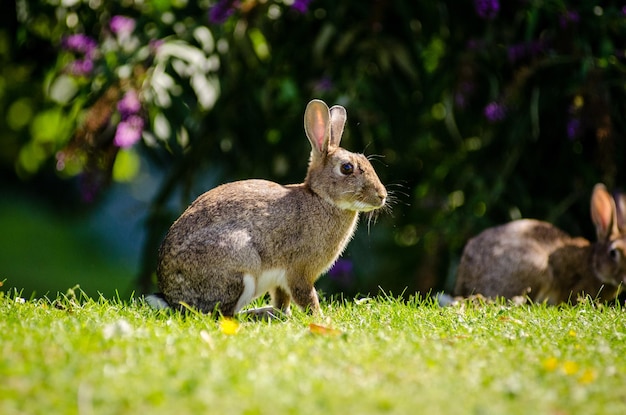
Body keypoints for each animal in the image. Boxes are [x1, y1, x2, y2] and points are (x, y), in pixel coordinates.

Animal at [151, 99, 386, 316]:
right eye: (346, 168)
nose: (382, 196)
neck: (321, 198)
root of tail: (171, 298)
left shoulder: (281, 280)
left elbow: (282, 298)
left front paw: (284, 314)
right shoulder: (299, 271)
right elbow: (306, 296)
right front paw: (320, 318)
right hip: (240, 264)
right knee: (222, 314)